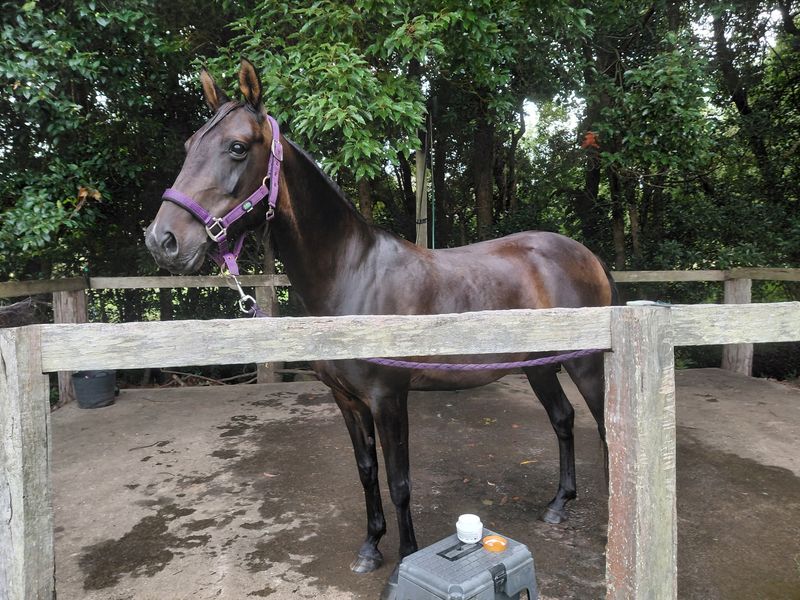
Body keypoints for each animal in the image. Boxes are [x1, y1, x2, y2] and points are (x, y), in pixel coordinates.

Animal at [144, 60, 616, 584]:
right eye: (190, 145)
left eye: (237, 147)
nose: (163, 240)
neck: (352, 275)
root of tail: (587, 256)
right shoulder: (347, 400)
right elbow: (367, 471)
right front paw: (371, 547)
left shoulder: (389, 398)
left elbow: (399, 480)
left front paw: (405, 558)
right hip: (540, 365)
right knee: (563, 419)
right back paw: (558, 504)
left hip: (587, 366)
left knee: (606, 431)